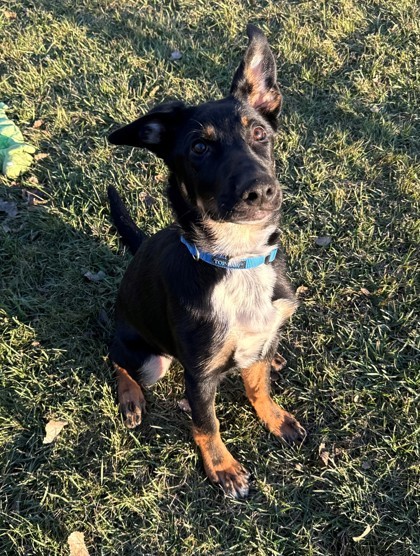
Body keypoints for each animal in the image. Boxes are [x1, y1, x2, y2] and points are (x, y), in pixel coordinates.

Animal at [107, 25, 306, 500]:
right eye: (199, 147)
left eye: (260, 134)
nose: (261, 191)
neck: (238, 261)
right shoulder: (198, 375)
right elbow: (206, 423)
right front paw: (222, 467)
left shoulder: (259, 337)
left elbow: (258, 387)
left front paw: (275, 417)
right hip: (150, 359)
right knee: (115, 356)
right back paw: (130, 397)